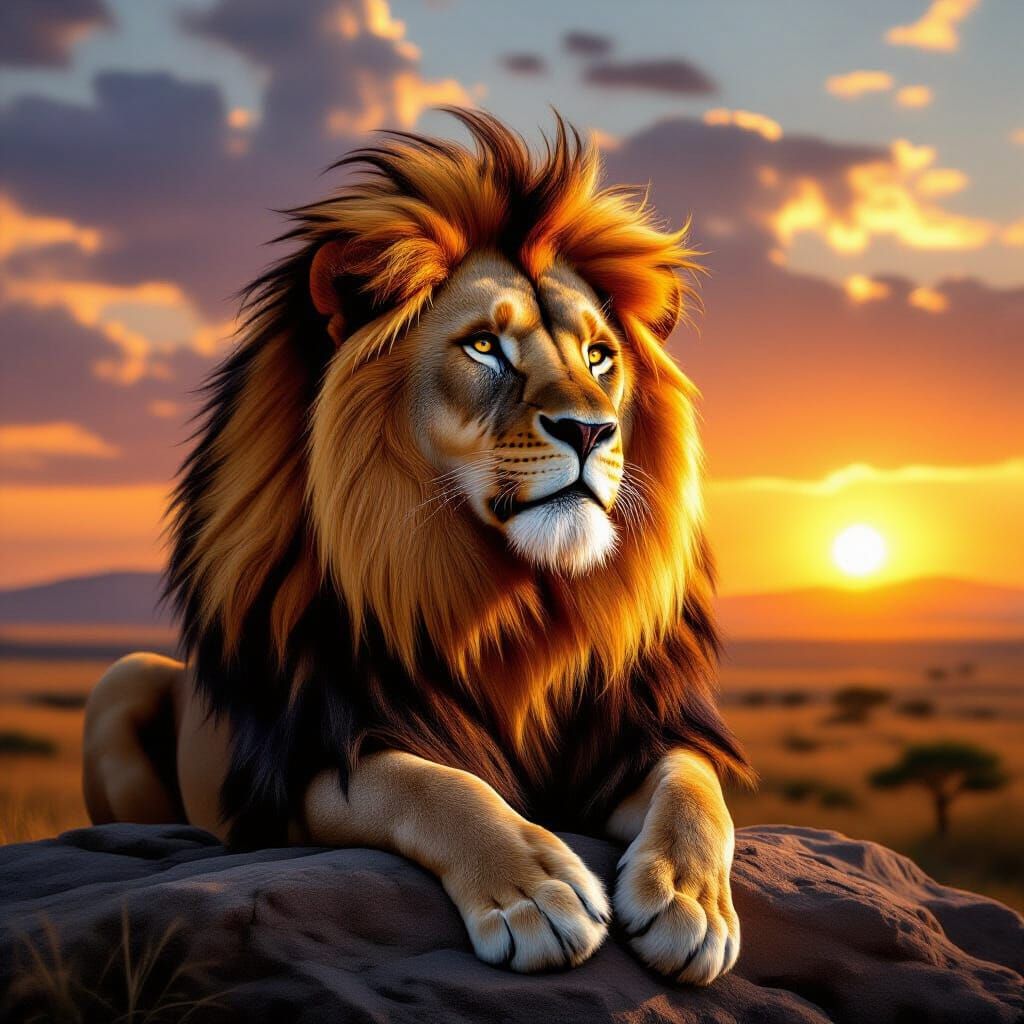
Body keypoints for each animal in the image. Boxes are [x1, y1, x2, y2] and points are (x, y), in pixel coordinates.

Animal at [82, 110, 752, 984]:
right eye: (485, 347)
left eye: (600, 355)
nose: (591, 430)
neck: (510, 604)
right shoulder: (307, 761)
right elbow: (433, 786)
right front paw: (536, 894)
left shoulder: (632, 735)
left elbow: (695, 787)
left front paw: (689, 901)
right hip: (124, 676)